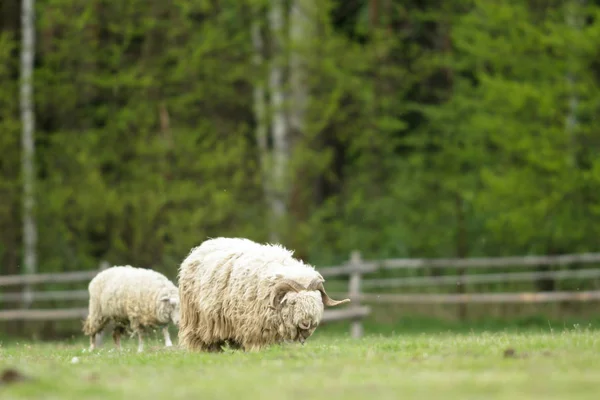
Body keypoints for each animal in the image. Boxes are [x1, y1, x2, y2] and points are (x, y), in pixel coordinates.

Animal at [176, 236, 350, 352]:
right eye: (293, 302)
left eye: (317, 303)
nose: (307, 323)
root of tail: (202, 246)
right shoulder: (254, 329)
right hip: (197, 320)